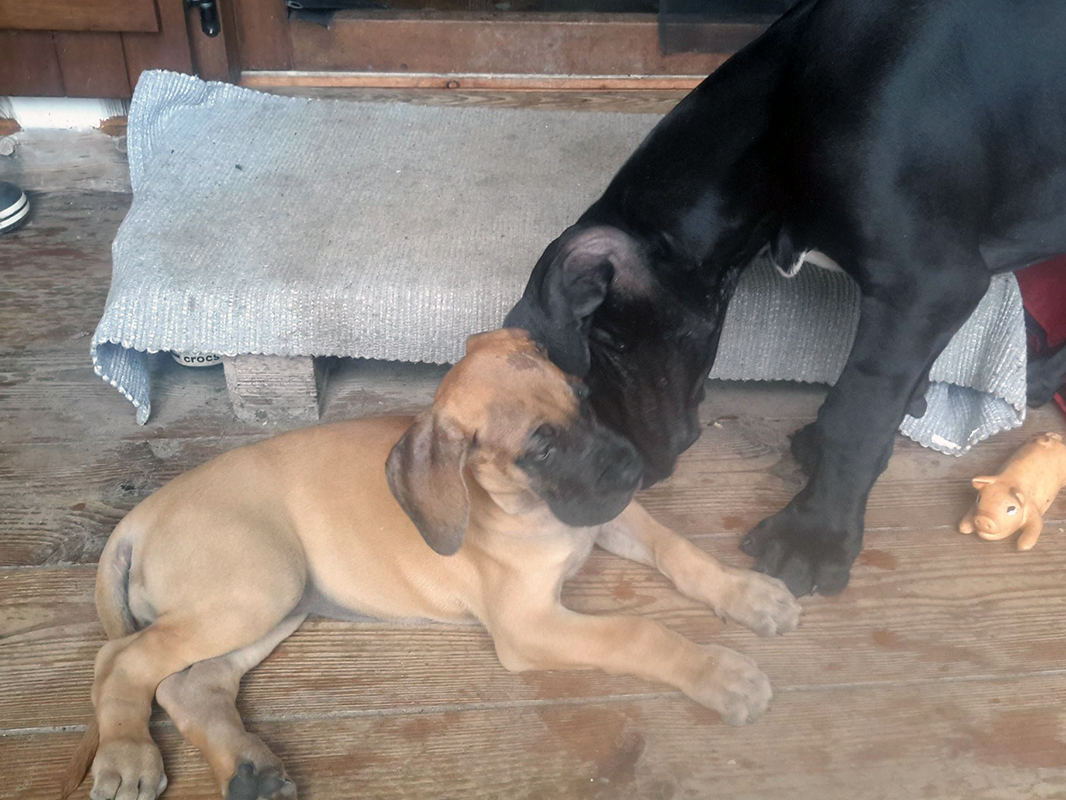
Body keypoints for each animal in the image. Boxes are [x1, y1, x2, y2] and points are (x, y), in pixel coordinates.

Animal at [62, 329, 800, 800]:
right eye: (540, 450)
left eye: (584, 397)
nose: (634, 469)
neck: (533, 510)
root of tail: (139, 514)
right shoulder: (529, 626)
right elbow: (637, 631)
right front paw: (719, 674)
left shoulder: (608, 514)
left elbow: (681, 550)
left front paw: (751, 595)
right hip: (256, 587)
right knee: (121, 661)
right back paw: (127, 756)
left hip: (280, 598)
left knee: (190, 684)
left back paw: (248, 771)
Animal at [505, 0, 1066, 597]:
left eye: (608, 341)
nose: (631, 469)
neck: (785, 123)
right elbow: (884, 392)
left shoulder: (927, 284)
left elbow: (858, 413)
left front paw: (815, 535)